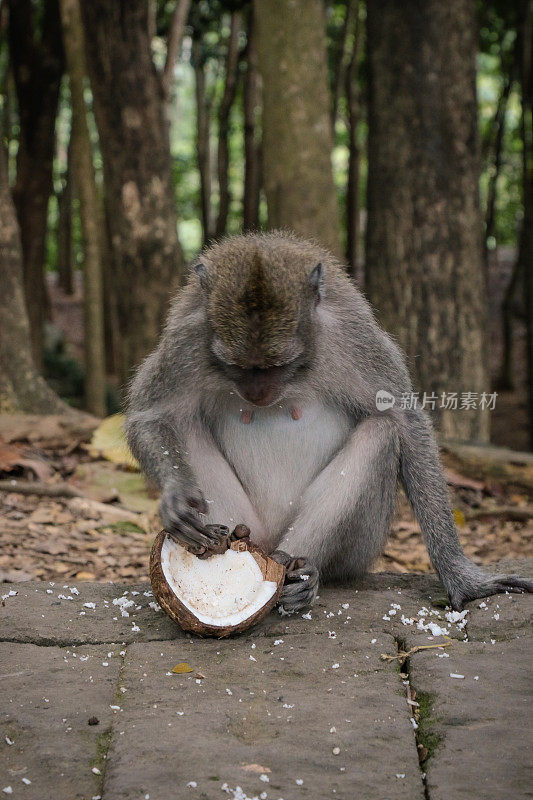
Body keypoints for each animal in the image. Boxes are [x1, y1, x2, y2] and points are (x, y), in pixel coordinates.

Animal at [125, 230, 532, 612]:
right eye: (236, 367)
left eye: (279, 366)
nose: (257, 394)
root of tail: (266, 545)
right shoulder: (186, 341)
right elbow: (149, 416)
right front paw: (175, 497)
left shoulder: (354, 337)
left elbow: (404, 419)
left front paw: (461, 576)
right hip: (247, 522)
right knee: (182, 425)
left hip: (360, 548)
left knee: (380, 433)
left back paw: (301, 572)